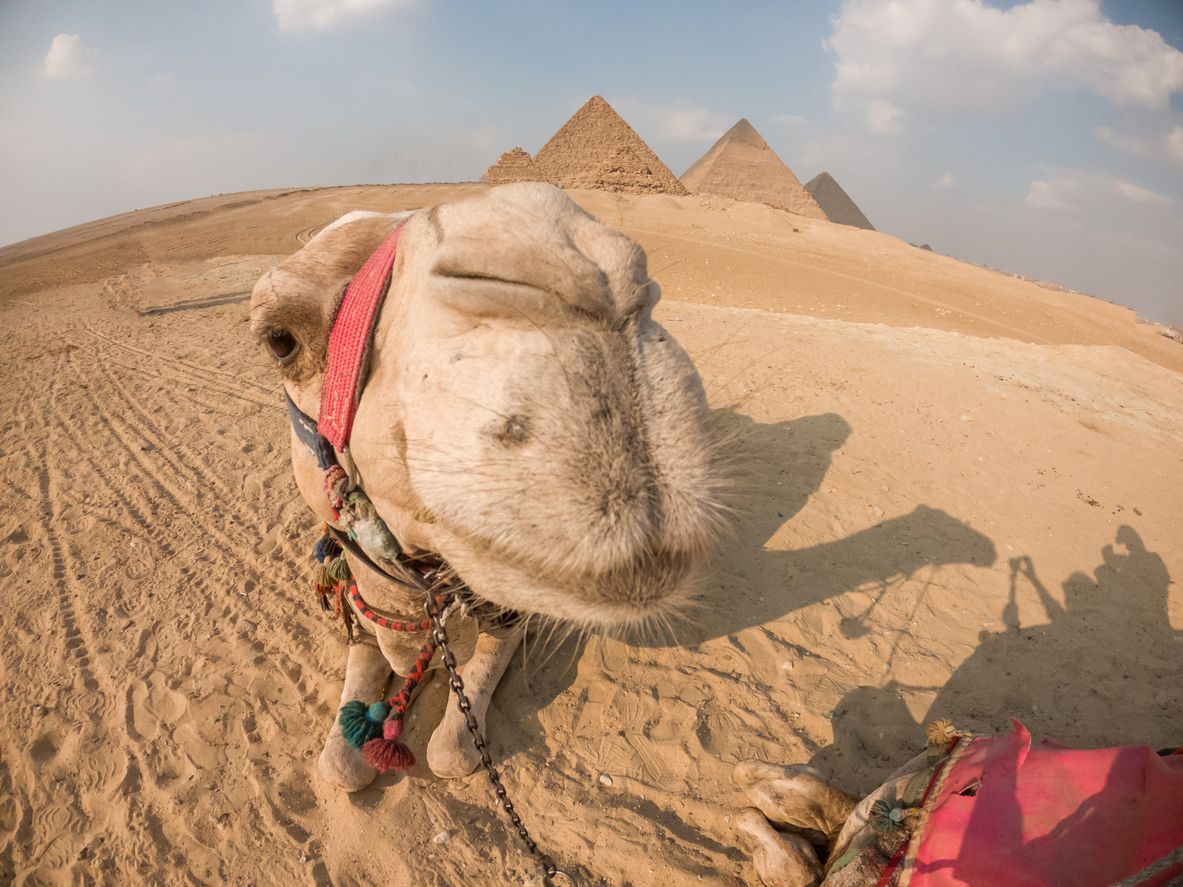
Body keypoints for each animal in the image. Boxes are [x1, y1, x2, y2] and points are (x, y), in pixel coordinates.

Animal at [249, 182, 725, 789]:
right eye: (278, 339)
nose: (591, 277)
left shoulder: (511, 614)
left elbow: (454, 744)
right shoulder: (362, 602)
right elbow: (339, 763)